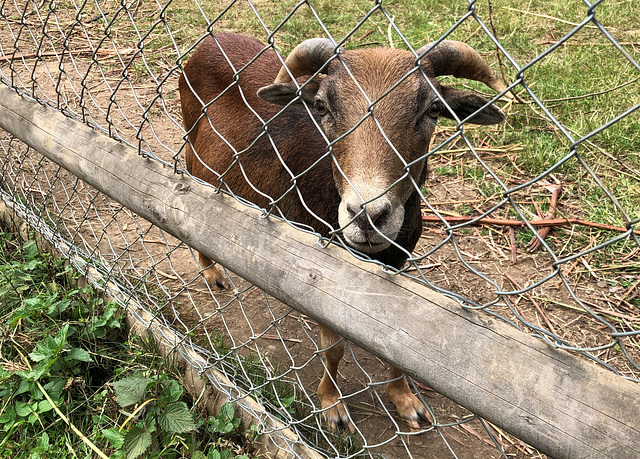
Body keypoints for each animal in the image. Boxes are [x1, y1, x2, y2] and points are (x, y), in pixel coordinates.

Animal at [179, 32, 504, 432]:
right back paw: (212, 271)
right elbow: (333, 349)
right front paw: (332, 406)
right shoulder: (322, 272)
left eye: (432, 109)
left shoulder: (397, 265)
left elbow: (398, 344)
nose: (367, 215)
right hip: (195, 151)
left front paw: (406, 401)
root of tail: (214, 38)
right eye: (322, 105)